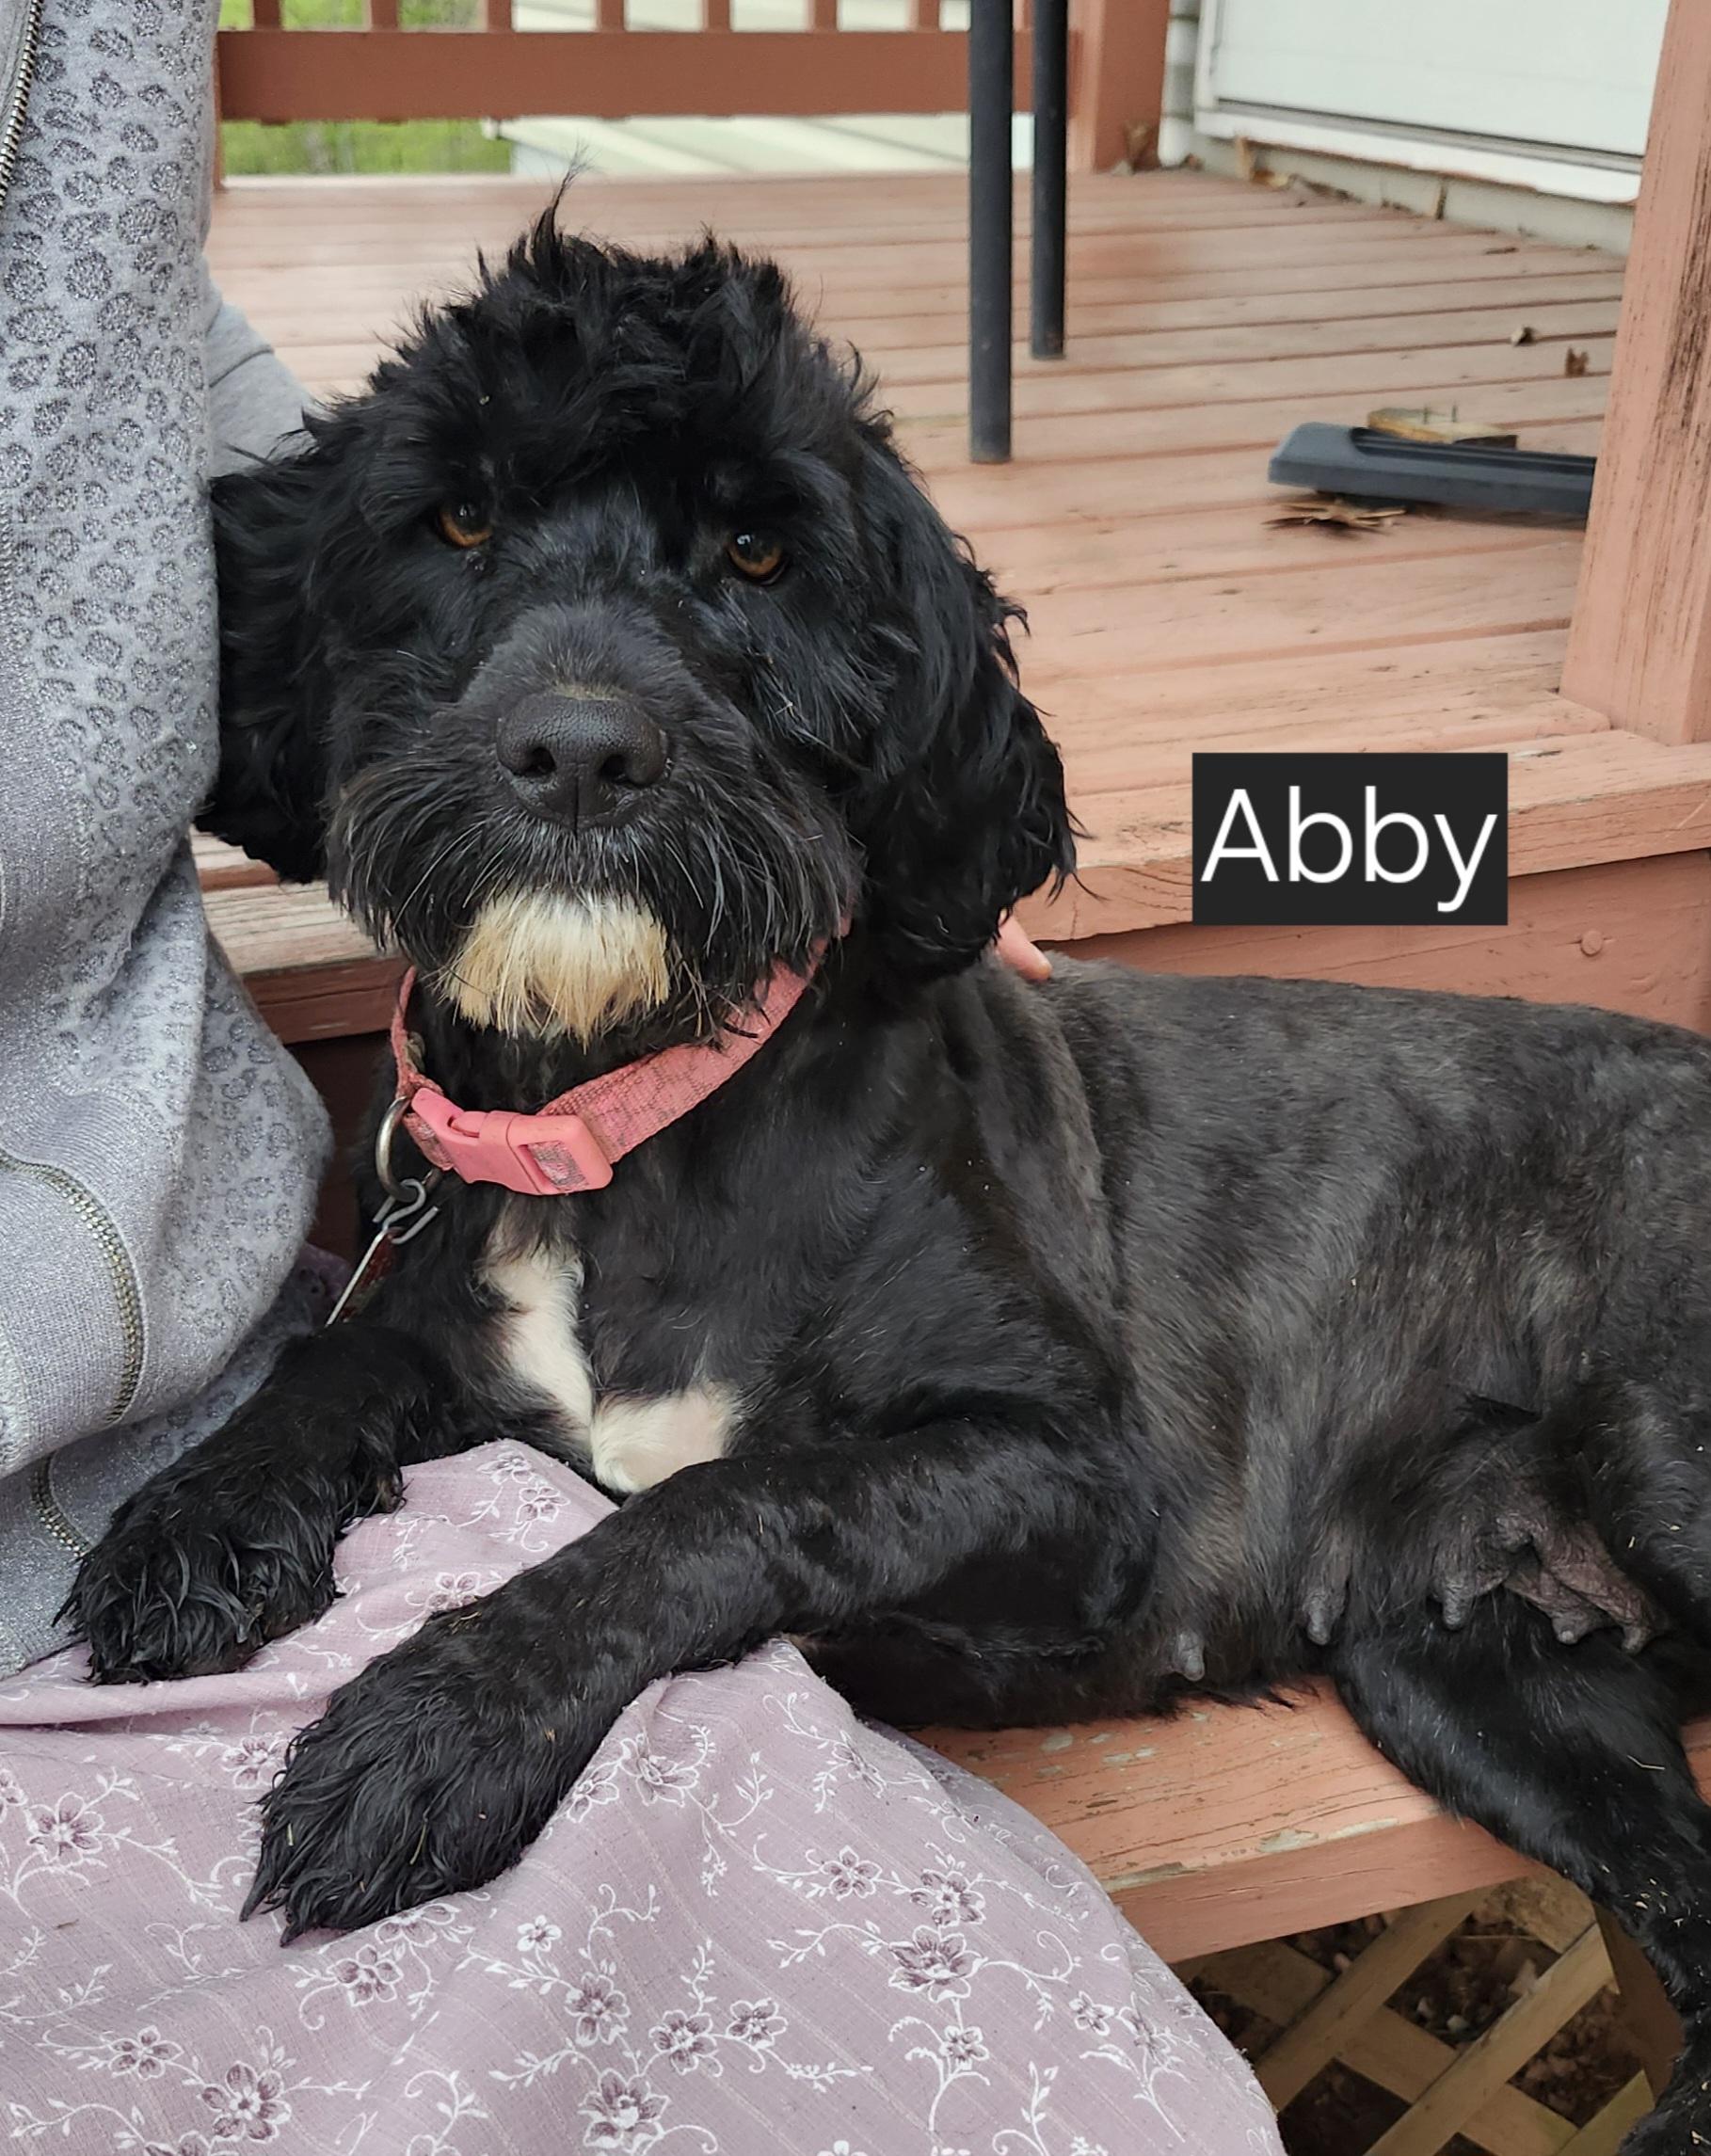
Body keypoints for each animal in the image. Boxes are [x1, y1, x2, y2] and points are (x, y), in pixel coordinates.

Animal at [68, 214, 1711, 2149]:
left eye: (760, 549)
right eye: (454, 520)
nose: (576, 749)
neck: (631, 1116)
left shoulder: (1076, 1479)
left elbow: (727, 1499)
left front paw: (438, 1723)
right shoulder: (438, 1321)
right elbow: (333, 1358)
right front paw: (188, 1518)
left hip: (1657, 1463)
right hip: (1482, 1674)